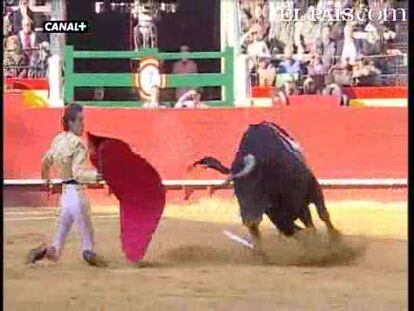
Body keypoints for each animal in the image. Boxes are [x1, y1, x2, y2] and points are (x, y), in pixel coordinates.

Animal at [192, 121, 340, 244]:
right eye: (235, 191)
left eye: (255, 183)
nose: (249, 221)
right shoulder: (279, 215)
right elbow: (295, 230)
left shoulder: (313, 189)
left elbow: (322, 215)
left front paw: (335, 239)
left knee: (312, 220)